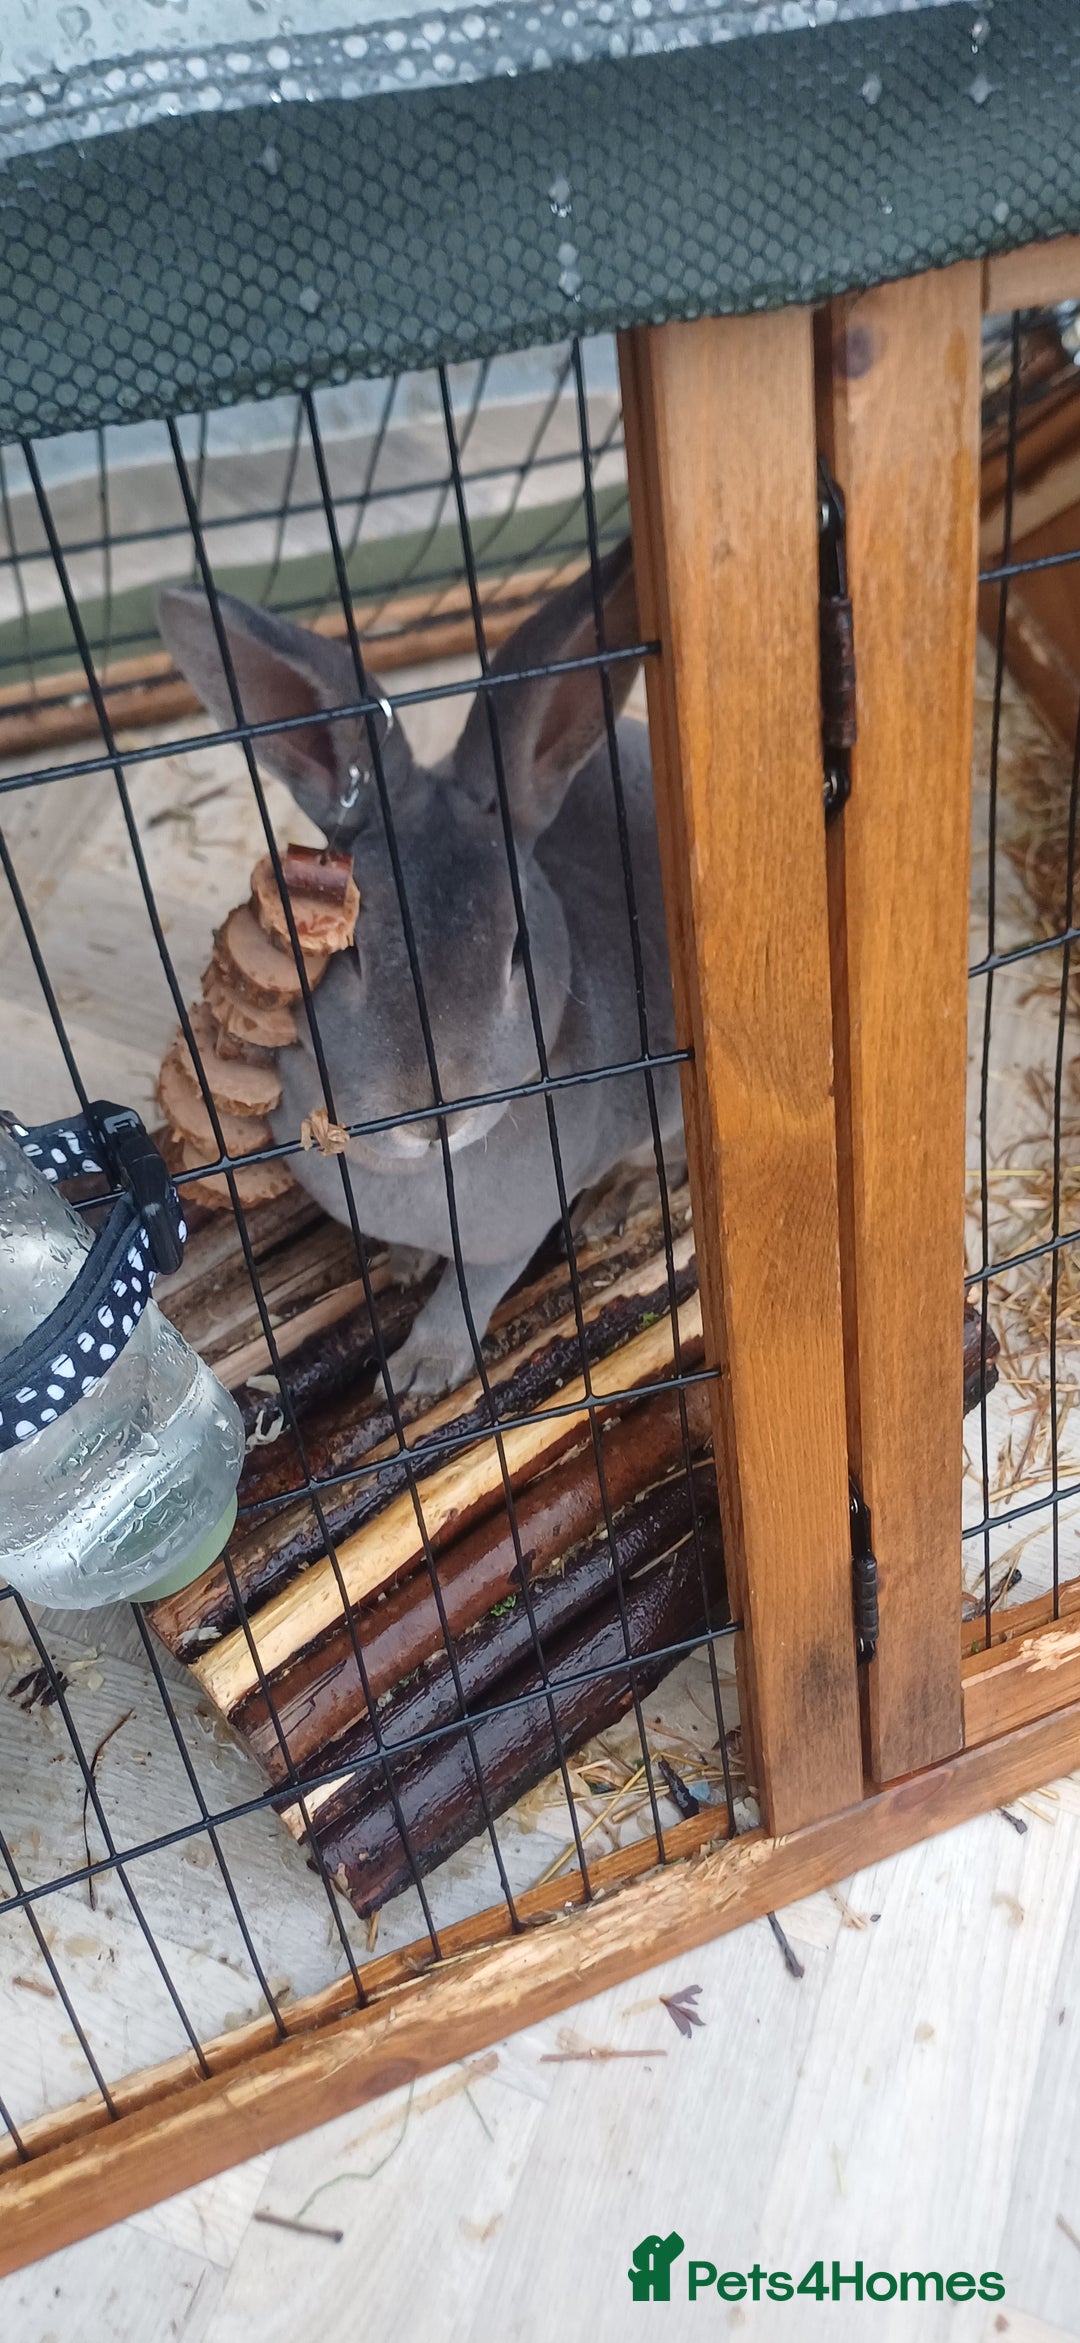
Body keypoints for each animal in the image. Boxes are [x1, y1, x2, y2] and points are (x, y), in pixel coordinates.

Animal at [157, 540, 684, 1397]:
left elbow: (470, 1292)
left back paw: (620, 1200)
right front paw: (404, 1260)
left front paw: (416, 1375)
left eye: (516, 950)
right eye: (350, 950)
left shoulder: (513, 1233)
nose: (434, 1114)